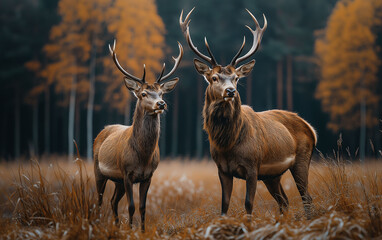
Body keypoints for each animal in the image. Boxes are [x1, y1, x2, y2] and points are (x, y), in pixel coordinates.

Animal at [92, 39, 182, 231]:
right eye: (143, 93)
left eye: (161, 93)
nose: (161, 104)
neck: (143, 156)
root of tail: (102, 131)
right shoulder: (127, 173)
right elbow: (131, 206)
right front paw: (130, 230)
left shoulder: (148, 176)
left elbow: (142, 207)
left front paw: (141, 230)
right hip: (98, 170)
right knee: (99, 200)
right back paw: (95, 223)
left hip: (117, 180)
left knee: (112, 201)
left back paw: (116, 226)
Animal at [179, 7, 316, 218]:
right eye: (214, 77)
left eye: (236, 78)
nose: (230, 91)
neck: (228, 143)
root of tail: (311, 128)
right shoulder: (222, 169)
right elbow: (224, 205)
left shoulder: (252, 166)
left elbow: (248, 204)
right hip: (272, 175)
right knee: (284, 201)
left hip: (301, 159)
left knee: (306, 197)